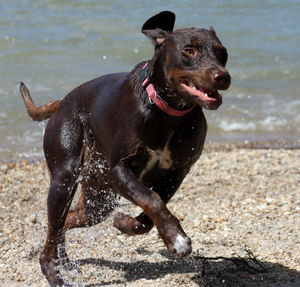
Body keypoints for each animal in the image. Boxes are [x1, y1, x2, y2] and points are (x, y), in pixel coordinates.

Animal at [20, 10, 230, 286]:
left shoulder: (177, 172)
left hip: (98, 199)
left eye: (222, 52)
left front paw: (128, 224)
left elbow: (151, 210)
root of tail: (62, 102)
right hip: (64, 178)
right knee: (53, 232)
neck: (166, 110)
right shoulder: (119, 170)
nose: (222, 76)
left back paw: (65, 262)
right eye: (189, 50)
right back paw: (56, 276)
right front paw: (178, 240)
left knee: (67, 222)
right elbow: (151, 199)